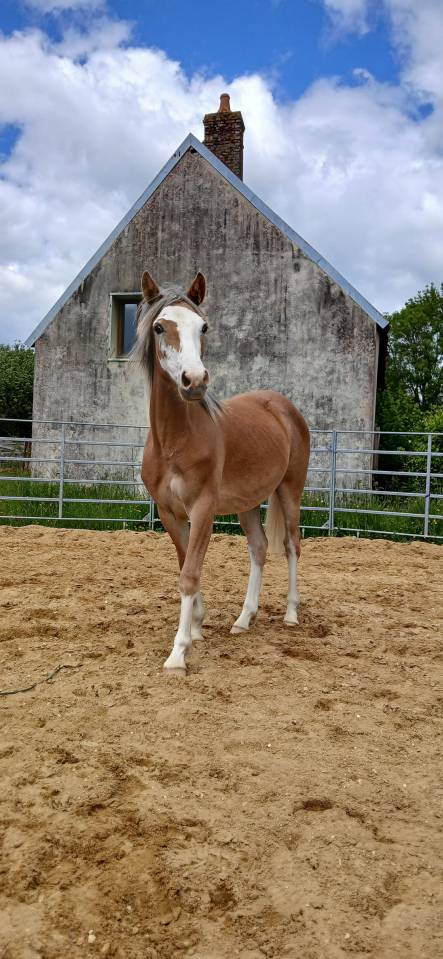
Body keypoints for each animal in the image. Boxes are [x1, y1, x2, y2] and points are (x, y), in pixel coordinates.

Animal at [135, 270, 310, 676]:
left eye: (203, 326)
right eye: (159, 327)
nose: (194, 380)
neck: (175, 440)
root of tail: (284, 407)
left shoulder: (203, 509)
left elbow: (189, 574)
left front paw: (178, 653)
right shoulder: (169, 514)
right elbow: (186, 564)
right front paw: (197, 627)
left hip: (290, 491)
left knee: (291, 544)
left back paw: (291, 614)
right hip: (248, 503)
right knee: (259, 548)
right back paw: (244, 620)